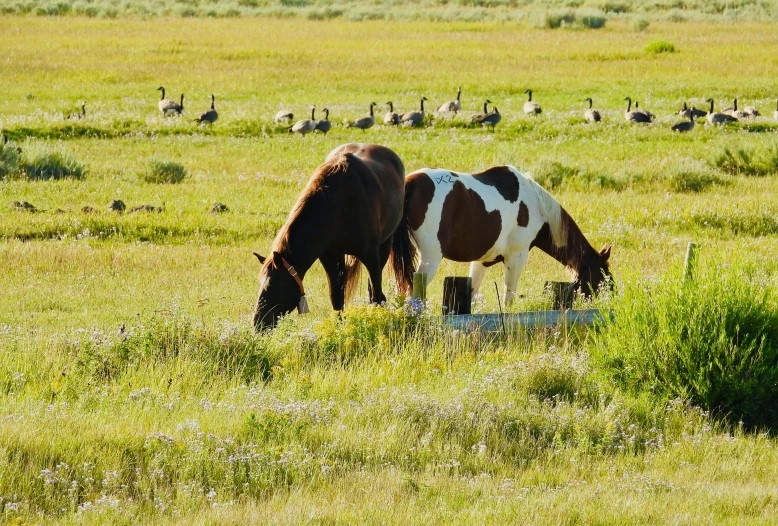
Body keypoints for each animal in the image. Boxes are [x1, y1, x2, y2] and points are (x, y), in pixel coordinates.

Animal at [253, 144, 410, 332]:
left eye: (270, 286)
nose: (257, 324)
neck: (338, 205)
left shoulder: (371, 255)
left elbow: (376, 293)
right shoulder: (329, 256)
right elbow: (336, 296)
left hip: (384, 246)